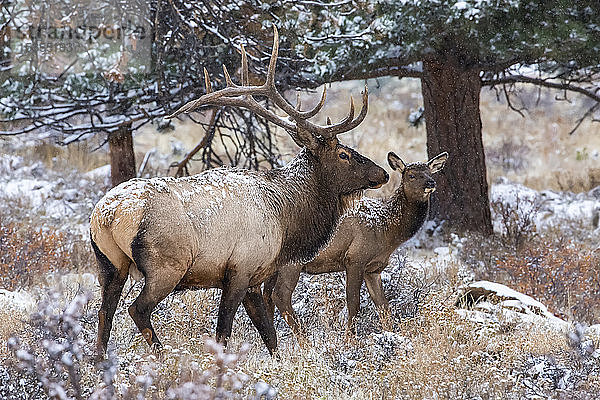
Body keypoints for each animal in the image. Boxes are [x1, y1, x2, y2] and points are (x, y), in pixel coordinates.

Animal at [262, 152, 446, 336]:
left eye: (430, 172)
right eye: (411, 175)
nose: (431, 183)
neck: (385, 230)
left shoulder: (374, 269)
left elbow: (383, 306)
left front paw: (391, 334)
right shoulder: (356, 258)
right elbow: (353, 303)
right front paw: (350, 339)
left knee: (267, 295)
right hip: (292, 262)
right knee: (280, 295)